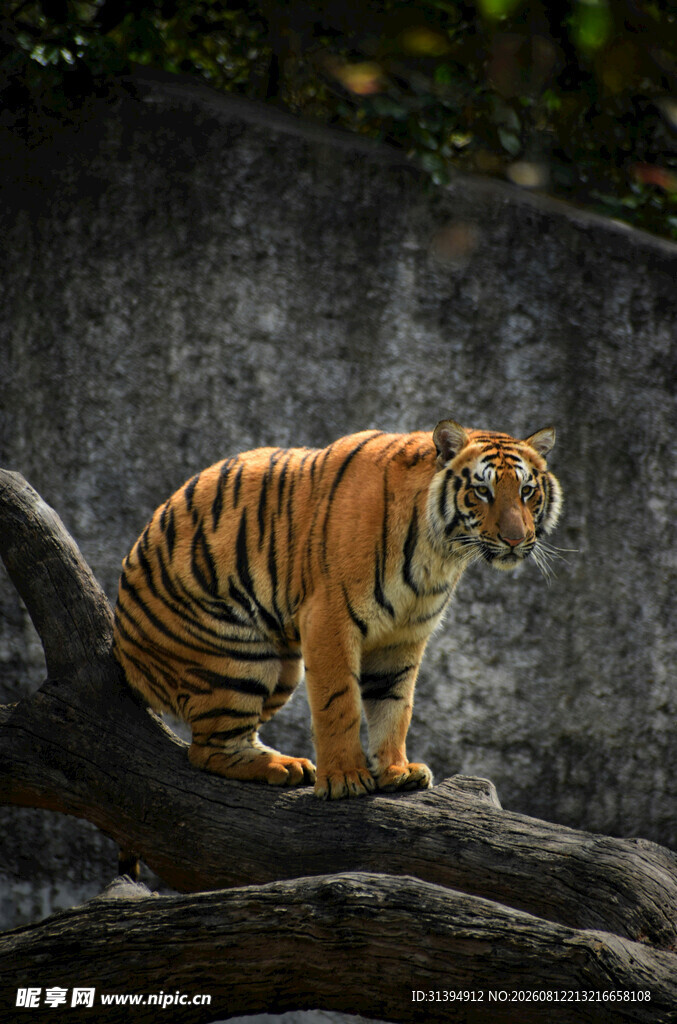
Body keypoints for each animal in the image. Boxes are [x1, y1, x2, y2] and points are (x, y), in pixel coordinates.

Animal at [112, 419, 562, 799]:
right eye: (483, 491)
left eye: (527, 491)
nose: (515, 539)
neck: (440, 553)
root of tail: (124, 652)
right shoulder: (329, 619)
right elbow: (339, 702)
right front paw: (346, 779)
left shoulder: (404, 635)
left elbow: (395, 705)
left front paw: (397, 771)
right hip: (233, 656)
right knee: (207, 750)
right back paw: (284, 766)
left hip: (282, 671)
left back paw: (287, 764)